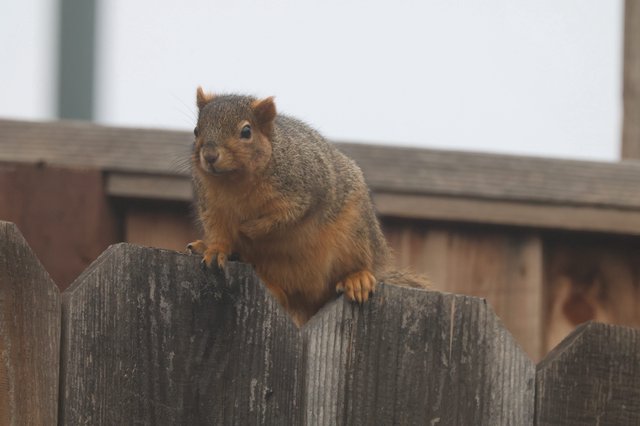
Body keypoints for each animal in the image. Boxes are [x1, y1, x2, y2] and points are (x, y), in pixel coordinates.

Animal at [187, 87, 427, 326]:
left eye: (246, 131)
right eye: (196, 131)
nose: (209, 156)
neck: (235, 182)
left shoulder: (305, 192)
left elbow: (285, 218)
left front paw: (248, 229)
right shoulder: (212, 207)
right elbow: (218, 232)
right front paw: (216, 249)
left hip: (356, 235)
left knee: (358, 264)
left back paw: (357, 279)